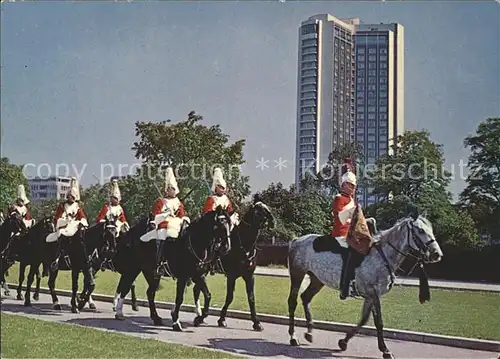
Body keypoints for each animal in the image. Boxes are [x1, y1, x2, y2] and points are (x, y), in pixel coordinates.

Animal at [193, 198, 276, 334]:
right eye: (259, 211)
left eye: (267, 207)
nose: (273, 222)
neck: (244, 246)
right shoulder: (231, 276)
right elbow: (229, 297)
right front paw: (221, 319)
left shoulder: (249, 276)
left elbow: (251, 298)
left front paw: (256, 323)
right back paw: (199, 316)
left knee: (196, 290)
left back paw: (200, 316)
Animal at [288, 212, 444, 358]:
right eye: (421, 230)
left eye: (430, 229)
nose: (437, 254)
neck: (381, 256)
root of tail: (297, 240)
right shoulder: (374, 293)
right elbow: (379, 322)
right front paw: (385, 350)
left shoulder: (369, 296)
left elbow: (364, 319)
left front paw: (343, 342)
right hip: (298, 275)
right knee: (292, 302)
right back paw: (293, 337)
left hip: (317, 280)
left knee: (306, 298)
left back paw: (309, 332)